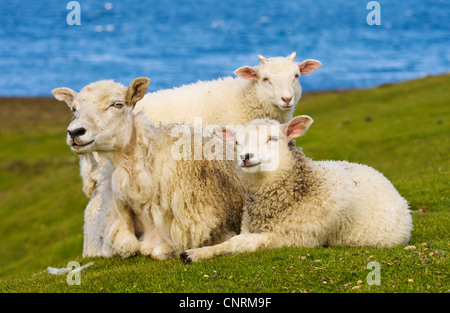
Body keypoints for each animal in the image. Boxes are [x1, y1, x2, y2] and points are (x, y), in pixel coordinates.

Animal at [179, 116, 412, 262]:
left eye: (273, 138)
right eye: (236, 142)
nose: (246, 157)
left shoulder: (296, 237)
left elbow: (240, 242)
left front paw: (196, 253)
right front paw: (199, 252)